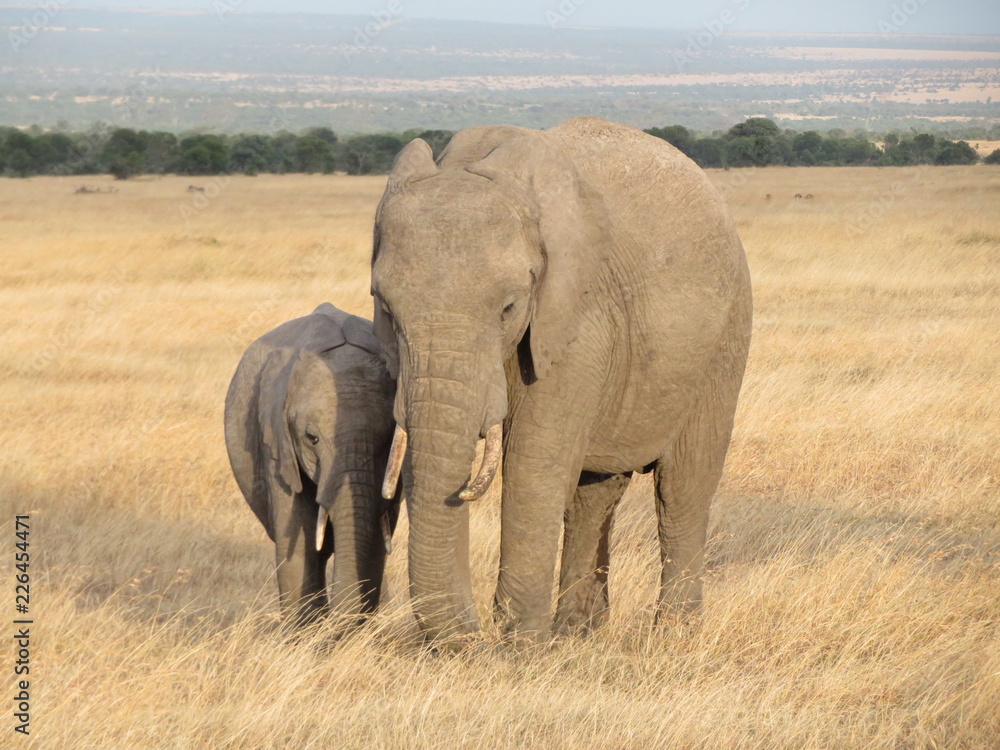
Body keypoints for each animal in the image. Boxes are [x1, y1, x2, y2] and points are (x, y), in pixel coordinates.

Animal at [225, 304, 400, 628]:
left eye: (386, 439)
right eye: (312, 438)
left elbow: (373, 539)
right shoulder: (275, 442)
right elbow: (300, 541)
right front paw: (306, 635)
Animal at [372, 116, 748, 640]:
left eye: (509, 308)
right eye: (385, 308)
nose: (473, 637)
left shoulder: (577, 319)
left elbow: (534, 462)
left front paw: (520, 646)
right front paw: (530, 640)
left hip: (725, 337)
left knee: (682, 487)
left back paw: (673, 635)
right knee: (593, 495)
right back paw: (579, 633)